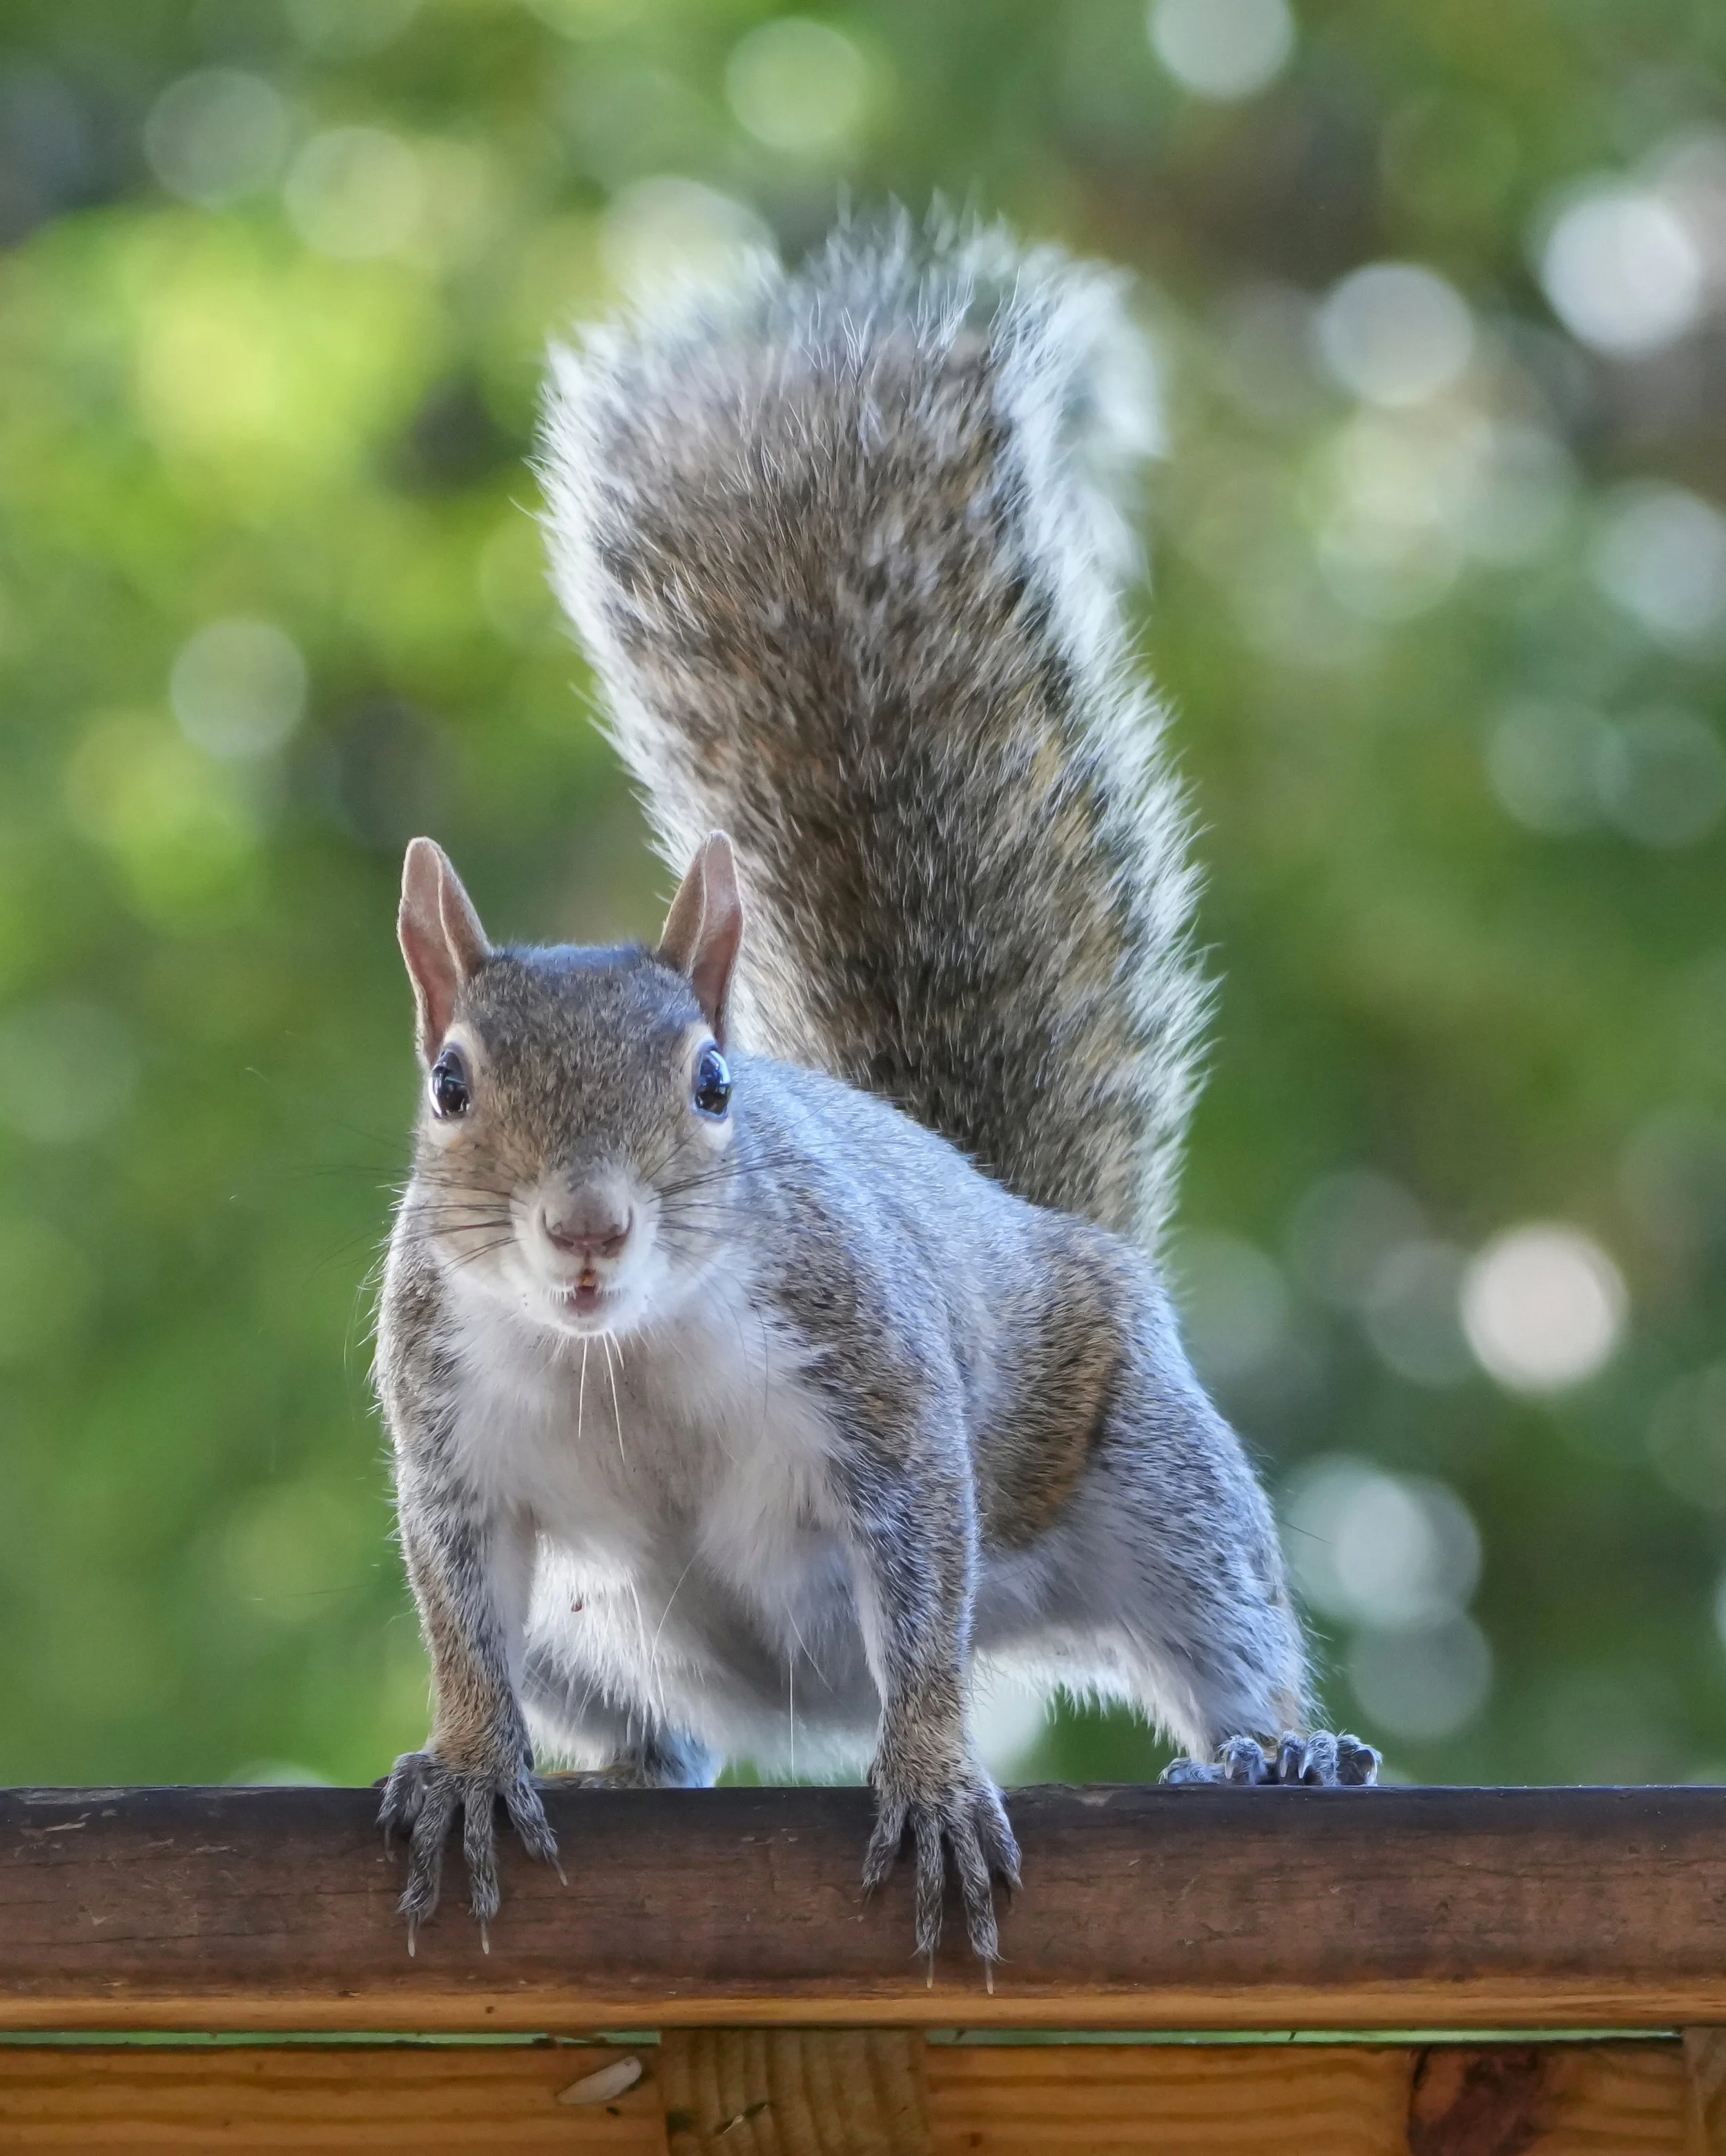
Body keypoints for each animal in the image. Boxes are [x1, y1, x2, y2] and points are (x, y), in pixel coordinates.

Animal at [373, 217, 1377, 1970]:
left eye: (713, 1082)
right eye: (450, 1083)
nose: (585, 1229)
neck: (625, 1356)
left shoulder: (879, 1392)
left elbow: (920, 1603)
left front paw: (926, 1780)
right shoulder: (449, 1449)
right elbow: (457, 1624)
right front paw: (471, 1765)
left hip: (1144, 1467)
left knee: (1213, 1625)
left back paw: (1277, 1747)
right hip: (596, 1637)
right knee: (669, 1735)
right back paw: (621, 1766)